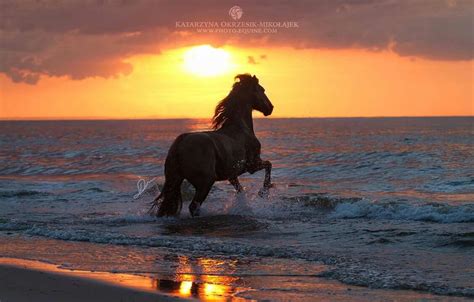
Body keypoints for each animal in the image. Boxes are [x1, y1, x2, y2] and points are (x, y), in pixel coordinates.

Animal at [152, 75, 274, 217]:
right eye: (262, 90)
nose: (270, 108)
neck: (241, 128)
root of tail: (179, 145)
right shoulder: (252, 165)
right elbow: (269, 165)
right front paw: (263, 192)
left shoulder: (232, 175)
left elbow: (240, 189)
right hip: (206, 182)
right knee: (194, 206)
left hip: (175, 179)